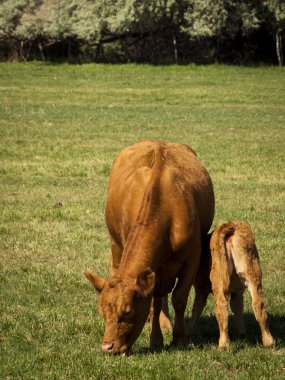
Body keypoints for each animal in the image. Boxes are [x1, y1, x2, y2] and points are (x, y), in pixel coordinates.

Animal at [84, 140, 213, 354]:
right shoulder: (153, 269)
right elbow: (154, 303)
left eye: (127, 312)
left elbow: (179, 298)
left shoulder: (192, 259)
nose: (107, 346)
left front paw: (179, 339)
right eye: (102, 312)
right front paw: (156, 340)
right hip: (115, 243)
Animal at [186, 221, 272, 352]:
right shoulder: (237, 291)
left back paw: (223, 345)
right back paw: (268, 341)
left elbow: (196, 308)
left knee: (221, 306)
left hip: (219, 280)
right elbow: (237, 307)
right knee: (259, 303)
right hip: (253, 273)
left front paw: (188, 331)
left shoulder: (201, 289)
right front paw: (241, 334)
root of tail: (230, 226)